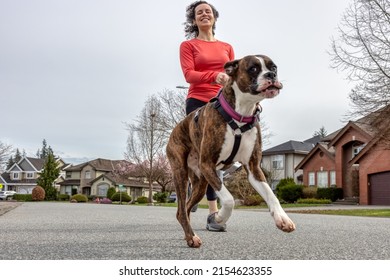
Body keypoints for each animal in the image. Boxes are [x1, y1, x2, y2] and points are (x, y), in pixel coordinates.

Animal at [166, 54, 298, 247]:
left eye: (274, 67)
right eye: (253, 69)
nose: (271, 75)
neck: (242, 114)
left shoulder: (253, 169)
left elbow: (271, 194)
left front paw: (283, 219)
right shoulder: (208, 164)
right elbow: (228, 199)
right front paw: (219, 217)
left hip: (200, 183)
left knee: (186, 207)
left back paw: (189, 235)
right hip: (181, 173)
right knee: (182, 209)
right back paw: (192, 237)